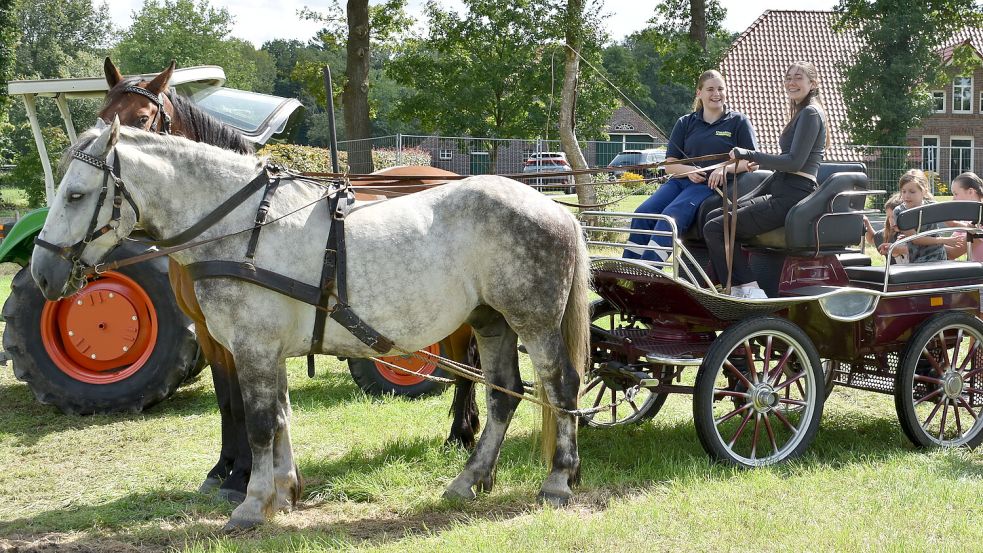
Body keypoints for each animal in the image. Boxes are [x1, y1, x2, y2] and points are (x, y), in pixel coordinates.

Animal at [30, 122, 592, 532]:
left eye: (75, 195)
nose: (42, 274)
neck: (242, 228)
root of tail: (556, 209)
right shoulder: (267, 349)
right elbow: (279, 417)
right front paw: (284, 492)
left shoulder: (252, 346)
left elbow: (259, 423)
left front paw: (252, 504)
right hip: (491, 321)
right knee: (503, 395)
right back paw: (470, 479)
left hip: (534, 320)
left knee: (561, 386)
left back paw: (558, 480)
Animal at [99, 59, 480, 500]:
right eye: (101, 115)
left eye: (143, 119)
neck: (234, 215)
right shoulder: (212, 332)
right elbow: (227, 400)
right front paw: (223, 469)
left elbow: (246, 403)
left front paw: (243, 475)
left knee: (465, 364)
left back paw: (460, 434)